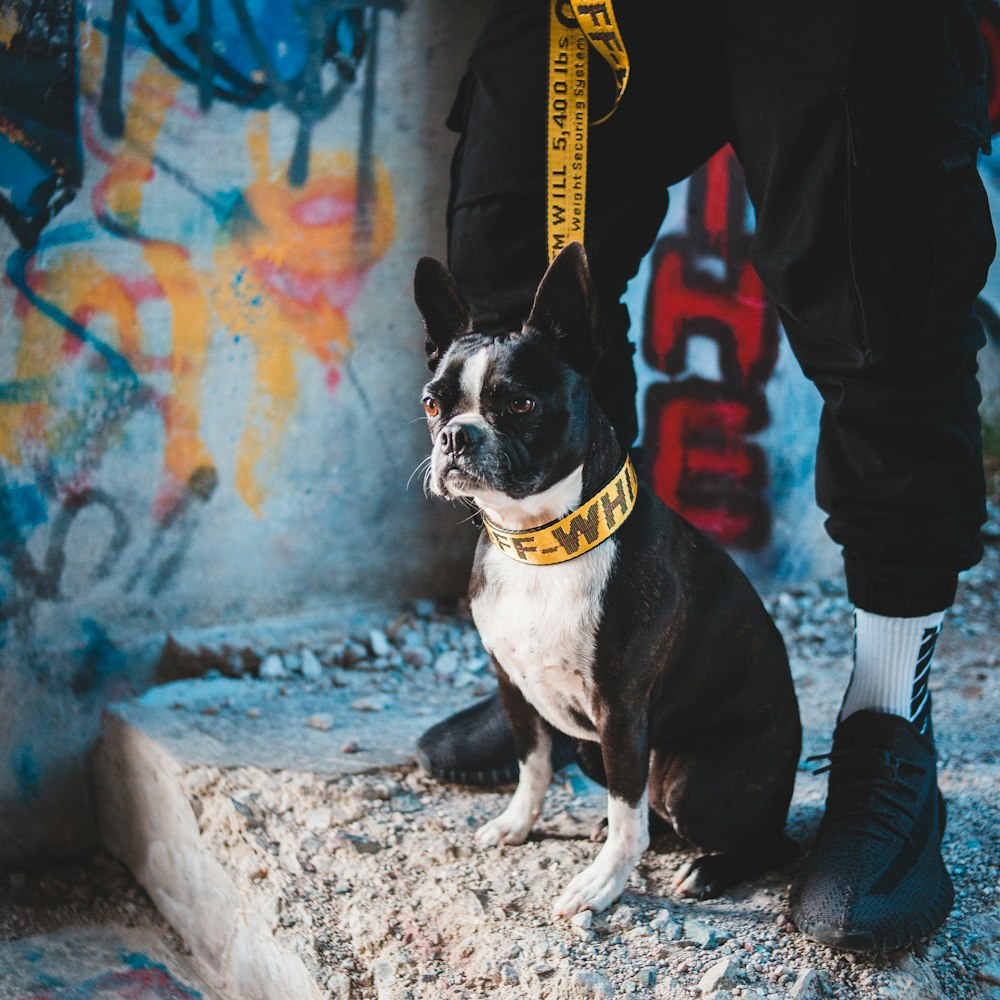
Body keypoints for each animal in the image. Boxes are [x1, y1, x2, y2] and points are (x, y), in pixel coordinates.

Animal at [412, 244, 796, 920]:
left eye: (520, 405)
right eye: (434, 404)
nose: (457, 435)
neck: (543, 545)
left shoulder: (620, 708)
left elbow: (625, 813)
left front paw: (603, 884)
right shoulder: (514, 684)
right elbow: (534, 765)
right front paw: (517, 823)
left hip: (693, 779)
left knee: (767, 838)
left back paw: (709, 869)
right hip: (595, 747)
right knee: (653, 808)